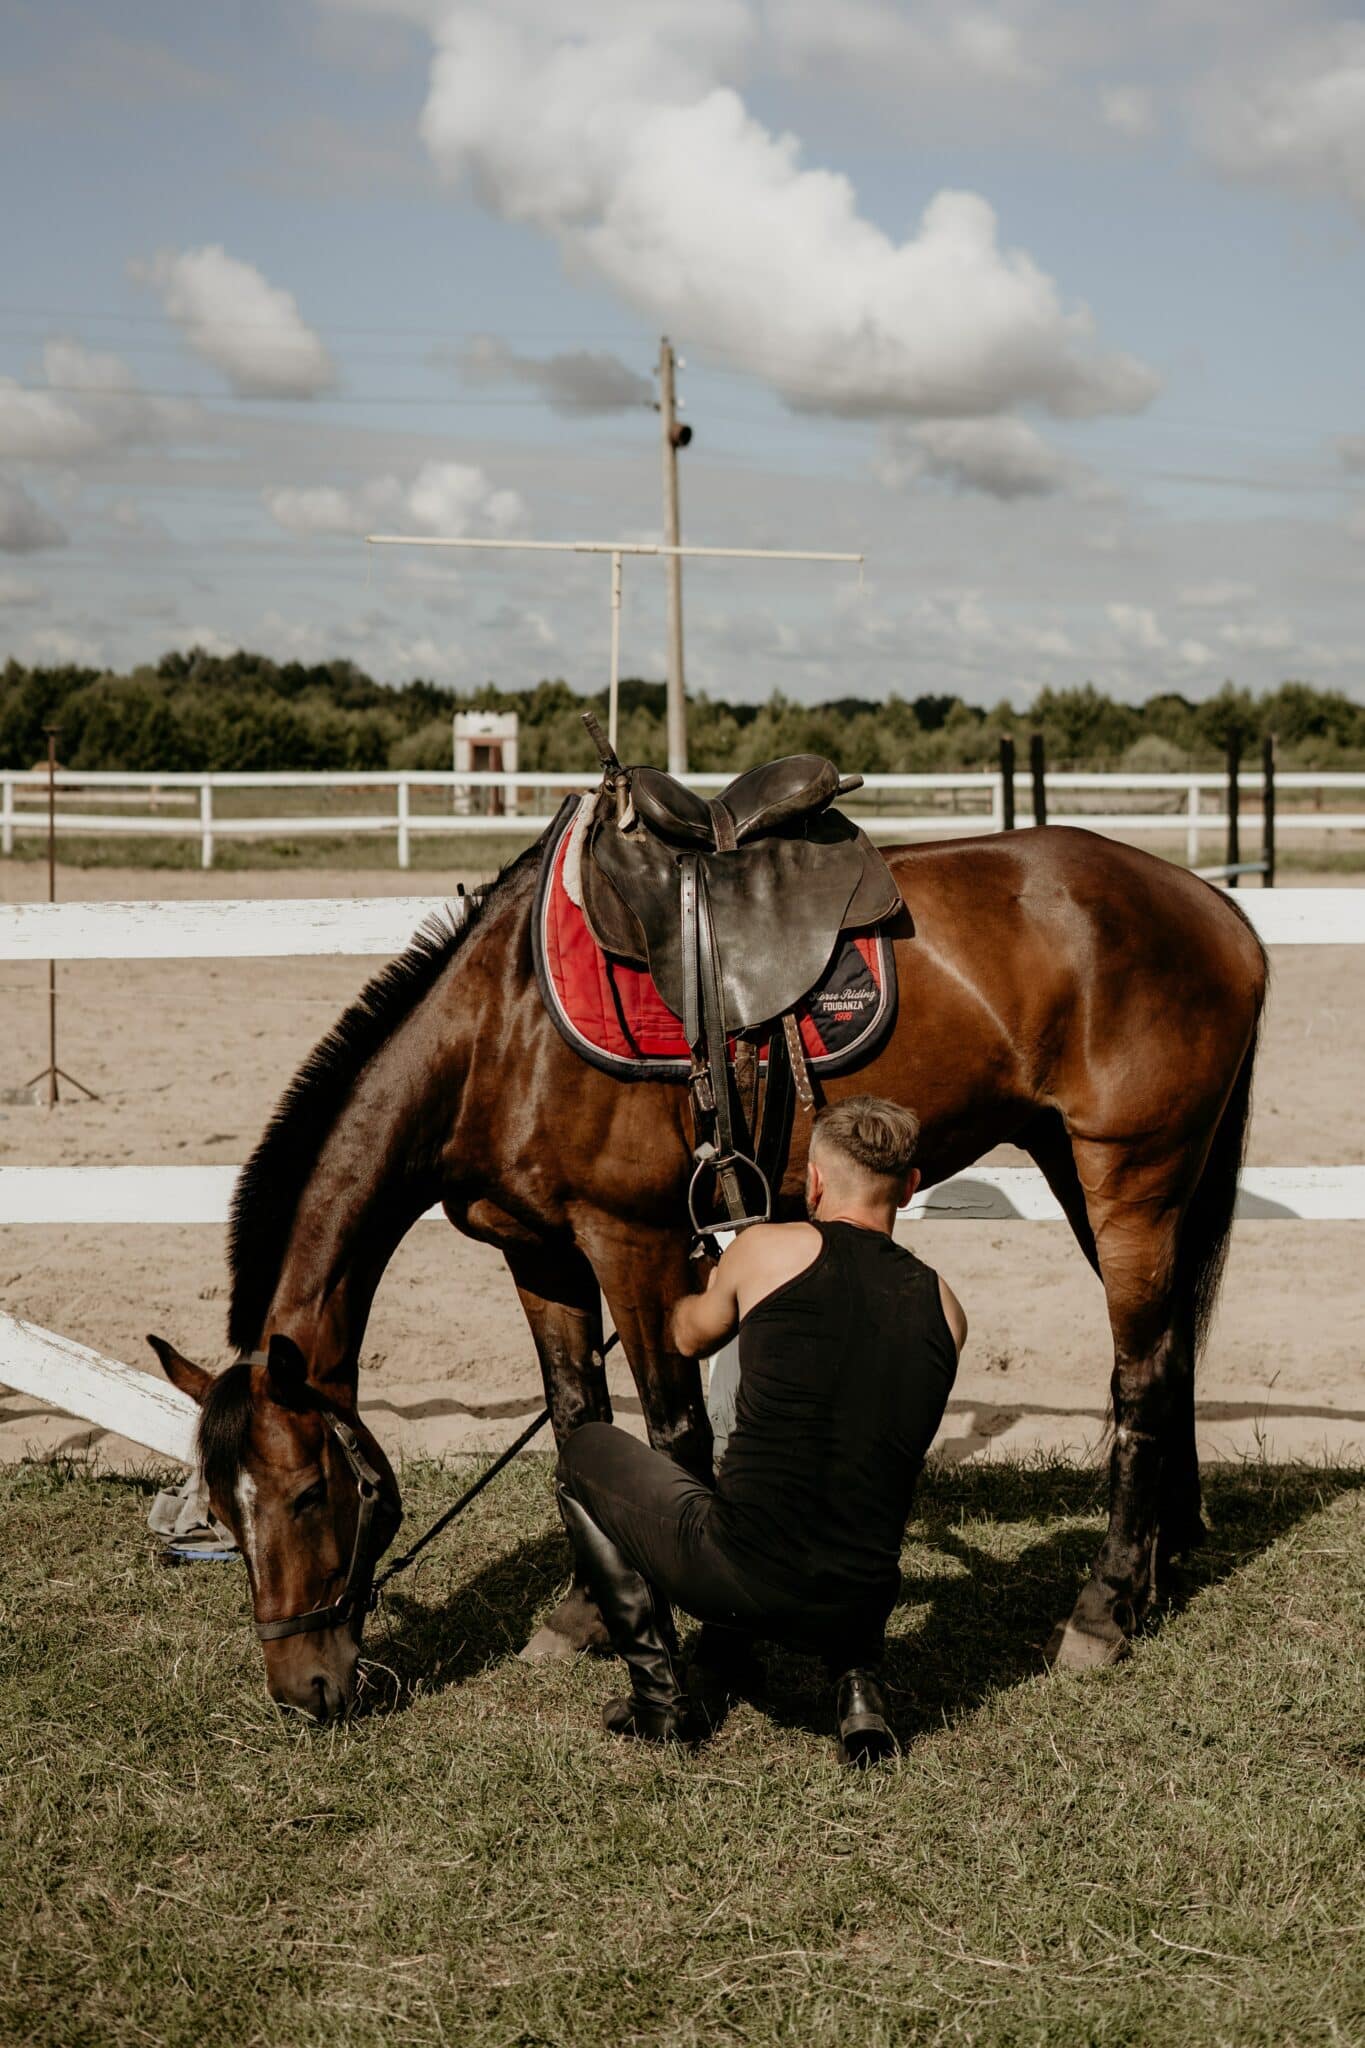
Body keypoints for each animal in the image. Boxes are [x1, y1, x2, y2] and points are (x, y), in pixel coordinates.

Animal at [150, 821, 1266, 1719]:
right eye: (221, 1510)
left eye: (306, 1494)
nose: (305, 1688)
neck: (499, 1033)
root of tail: (1215, 906)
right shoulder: (539, 1253)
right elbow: (579, 1422)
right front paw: (581, 1614)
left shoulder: (633, 1241)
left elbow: (674, 1431)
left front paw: (703, 1643)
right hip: (1091, 1172)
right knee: (1171, 1354)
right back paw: (1159, 1568)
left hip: (1130, 1180)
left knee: (1142, 1375)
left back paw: (1104, 1606)